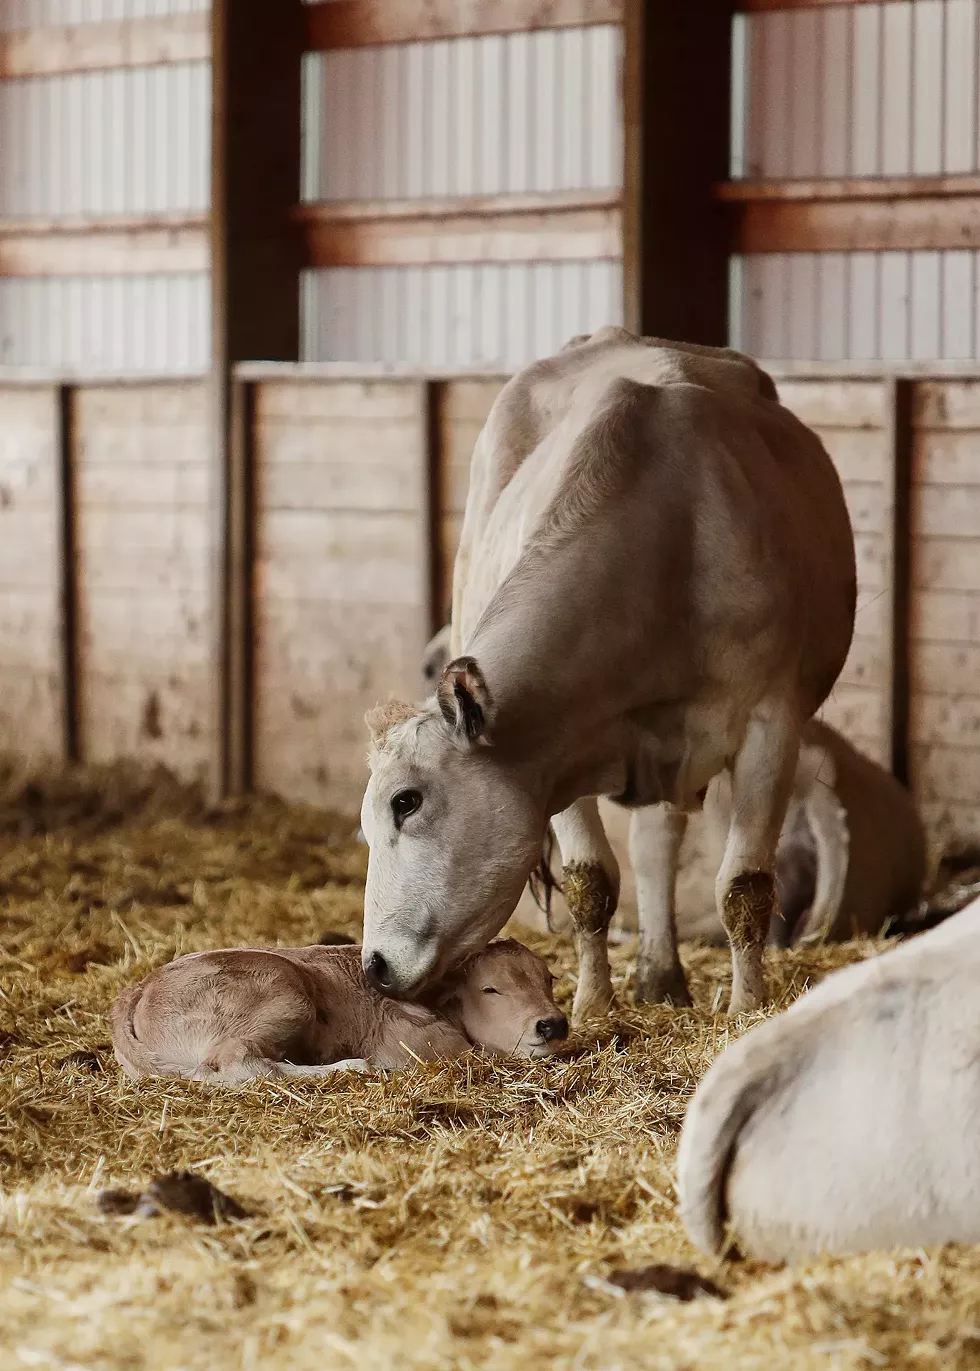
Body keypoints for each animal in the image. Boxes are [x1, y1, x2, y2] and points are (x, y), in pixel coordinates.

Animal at [112, 937, 567, 1085]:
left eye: (548, 979)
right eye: (491, 989)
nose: (553, 1024)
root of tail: (140, 988)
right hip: (283, 992)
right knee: (240, 1063)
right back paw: (352, 1067)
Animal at [361, 329, 860, 1020]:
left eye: (405, 801)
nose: (373, 966)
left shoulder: (772, 722)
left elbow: (745, 887)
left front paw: (745, 1009)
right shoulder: (556, 754)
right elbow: (588, 882)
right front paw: (593, 1005)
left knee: (661, 843)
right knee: (654, 845)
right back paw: (657, 974)